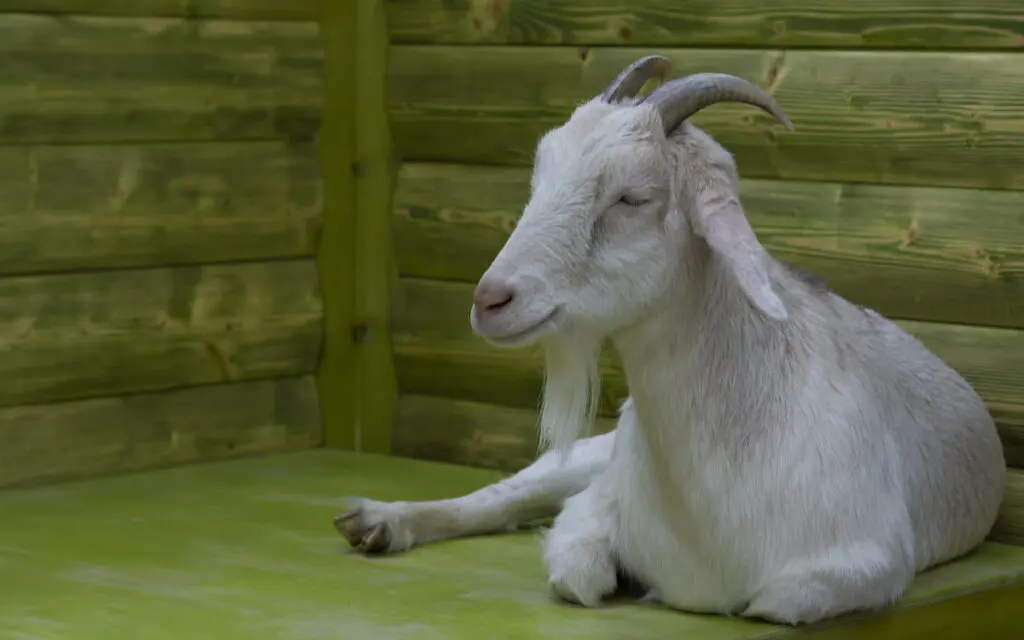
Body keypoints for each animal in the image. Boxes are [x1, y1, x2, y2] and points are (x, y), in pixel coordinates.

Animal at [331, 57, 1003, 626]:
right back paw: (378, 522)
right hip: (593, 452)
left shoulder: (860, 563)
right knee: (505, 496)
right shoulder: (591, 511)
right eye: (540, 176)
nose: (491, 300)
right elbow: (576, 572)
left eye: (632, 196)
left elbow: (771, 601)